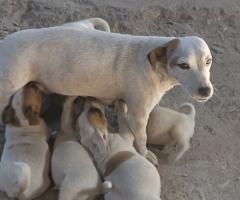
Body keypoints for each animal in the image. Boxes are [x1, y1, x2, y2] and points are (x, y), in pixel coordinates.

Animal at [0, 23, 213, 164]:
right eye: (183, 65)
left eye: (208, 61)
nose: (206, 90)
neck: (154, 67)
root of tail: (4, 43)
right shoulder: (138, 115)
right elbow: (142, 137)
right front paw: (145, 154)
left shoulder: (123, 105)